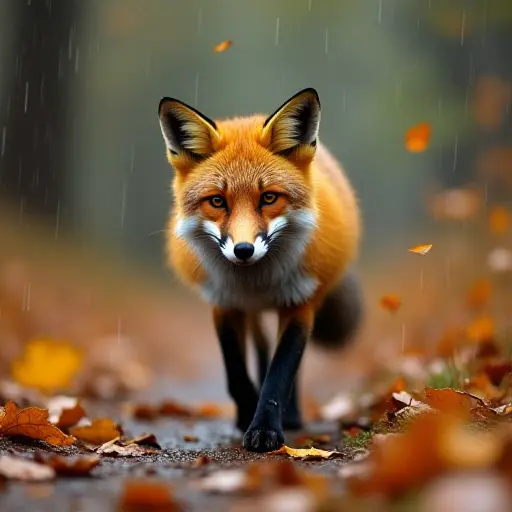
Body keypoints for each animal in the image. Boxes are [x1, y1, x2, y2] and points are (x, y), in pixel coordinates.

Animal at [158, 87, 362, 452]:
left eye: (268, 198)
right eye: (217, 201)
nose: (243, 250)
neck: (256, 283)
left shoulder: (299, 304)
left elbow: (280, 375)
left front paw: (266, 428)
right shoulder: (224, 303)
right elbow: (236, 374)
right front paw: (246, 413)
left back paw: (292, 416)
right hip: (252, 315)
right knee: (261, 349)